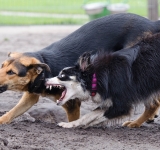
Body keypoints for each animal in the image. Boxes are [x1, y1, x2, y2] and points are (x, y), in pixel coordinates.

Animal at [0, 13, 160, 124]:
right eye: (2, 66)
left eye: (11, 72)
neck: (44, 68)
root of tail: (152, 22)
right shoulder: (30, 96)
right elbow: (11, 113)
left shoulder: (72, 104)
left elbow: (75, 120)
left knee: (152, 102)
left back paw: (136, 123)